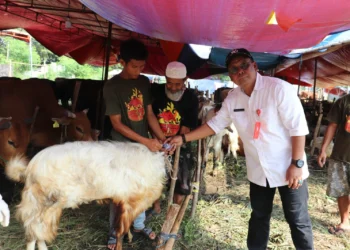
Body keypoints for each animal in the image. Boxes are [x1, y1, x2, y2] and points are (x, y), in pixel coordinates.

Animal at [5, 142, 167, 250]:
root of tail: (30, 168)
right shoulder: (132, 202)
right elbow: (120, 230)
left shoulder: (121, 200)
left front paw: (130, 237)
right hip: (48, 201)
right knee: (35, 228)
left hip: (37, 202)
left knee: (34, 229)